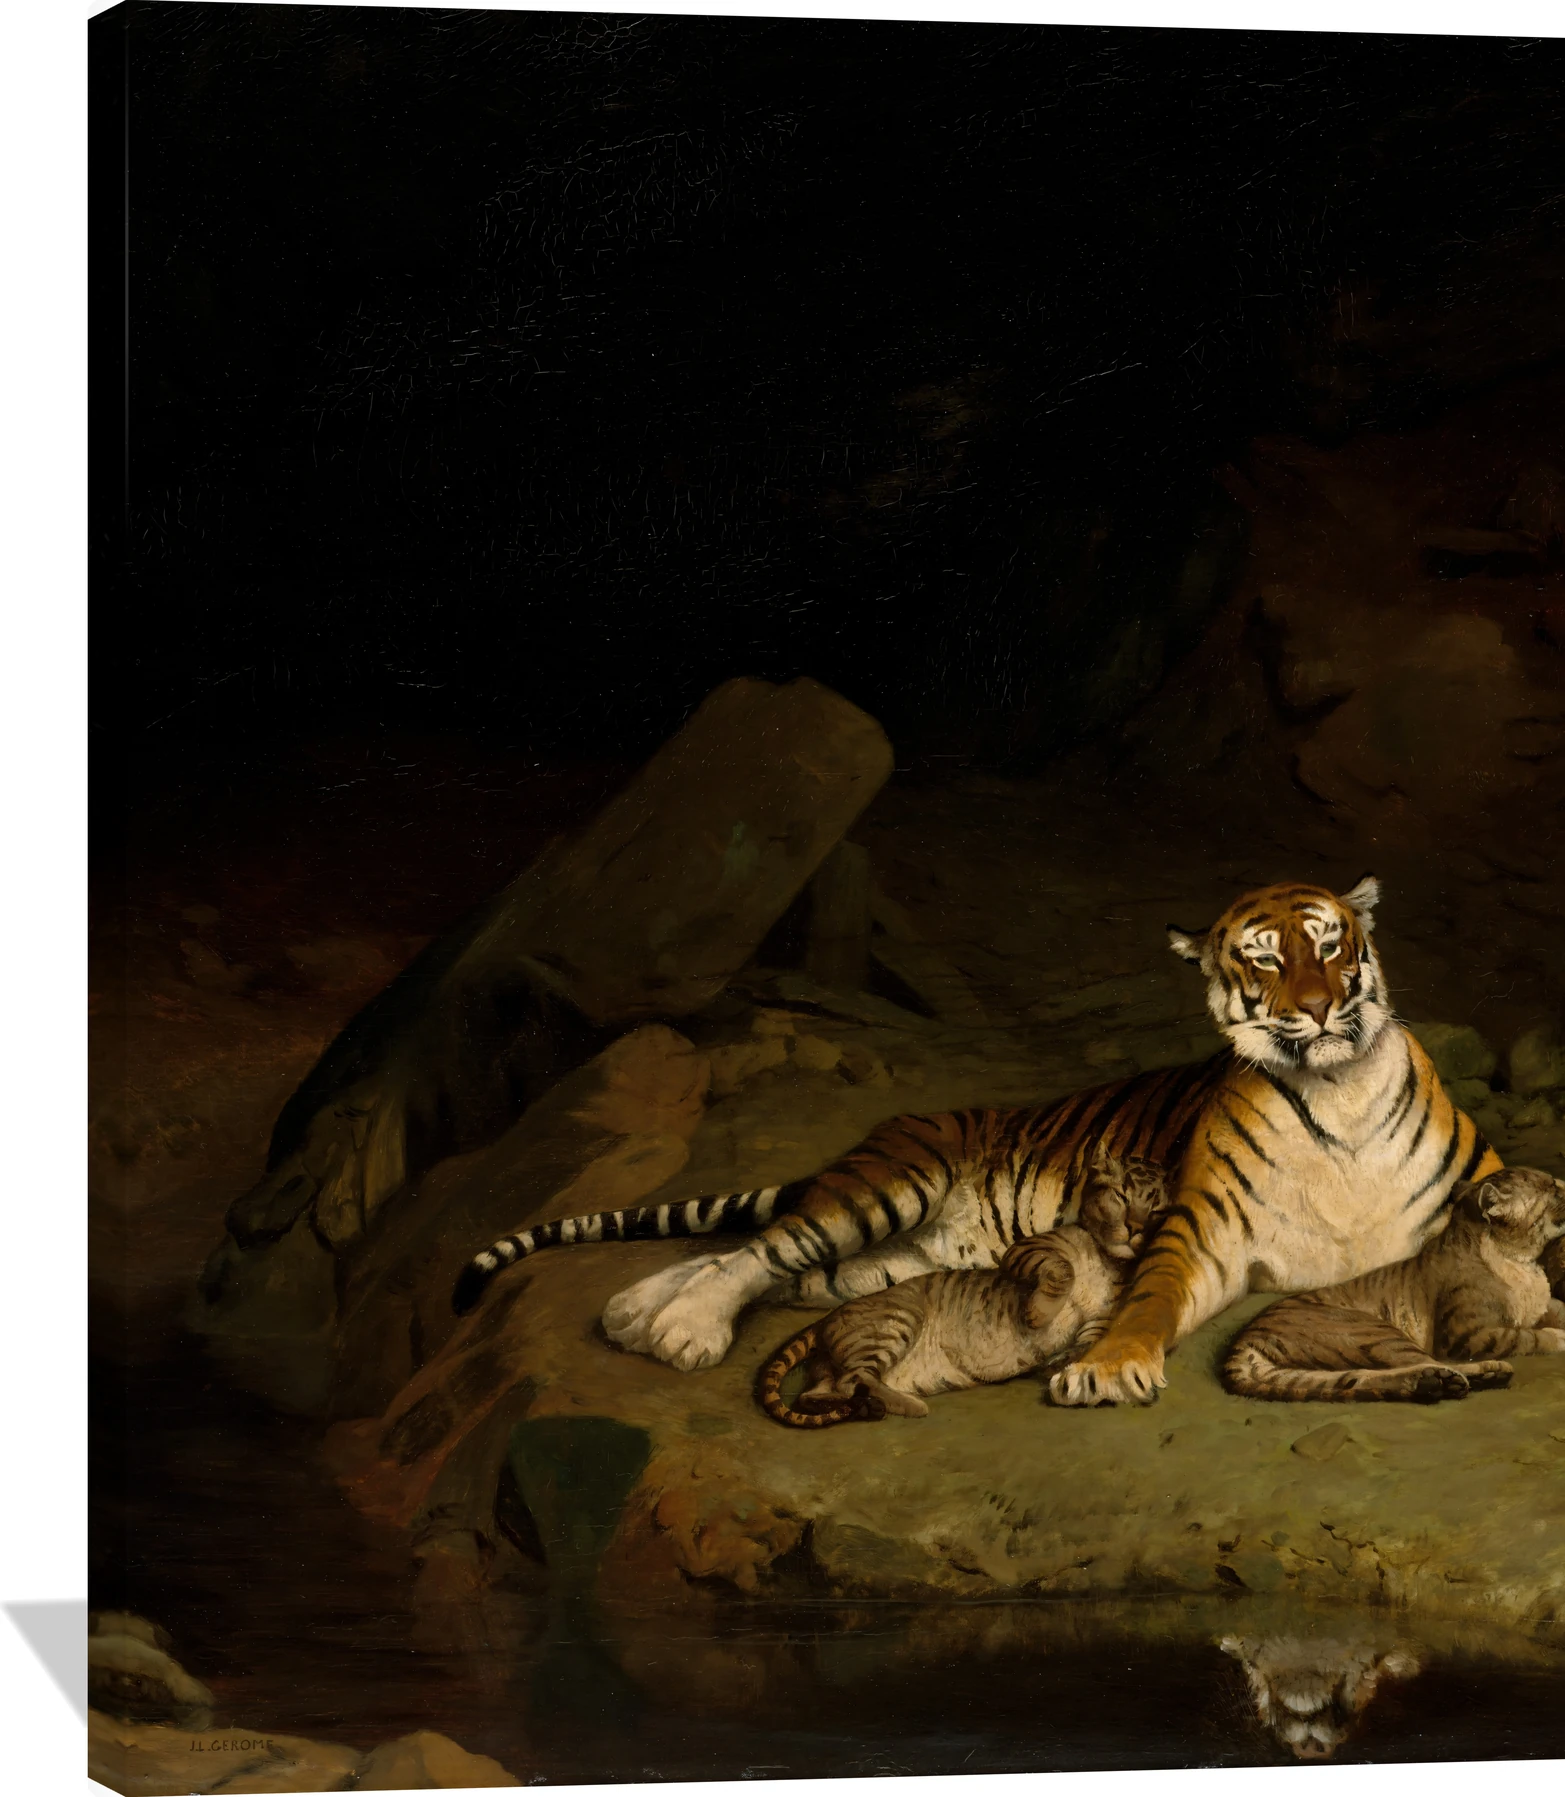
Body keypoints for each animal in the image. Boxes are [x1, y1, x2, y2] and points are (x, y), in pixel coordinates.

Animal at [451, 875, 1502, 1406]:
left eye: (1327, 945)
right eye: (1263, 960)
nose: (1318, 1008)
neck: (1338, 1088)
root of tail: (903, 1123)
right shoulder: (1195, 1230)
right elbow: (1147, 1299)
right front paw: (1106, 1368)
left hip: (881, 1262)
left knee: (752, 1260)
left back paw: (635, 1313)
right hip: (886, 1190)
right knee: (756, 1247)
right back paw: (676, 1329)